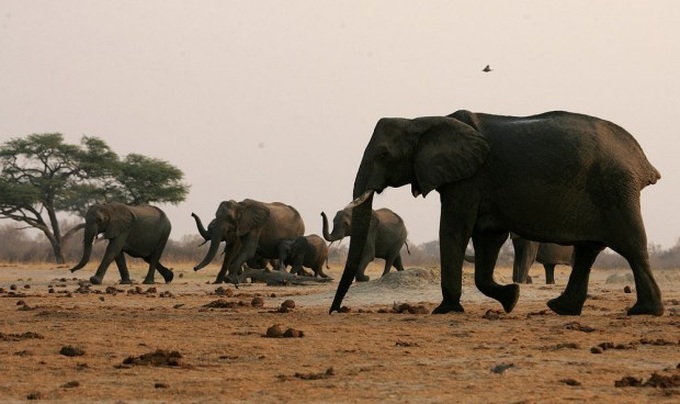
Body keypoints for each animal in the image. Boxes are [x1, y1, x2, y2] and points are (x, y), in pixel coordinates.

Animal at [330, 110, 663, 317]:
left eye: (383, 154)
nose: (337, 310)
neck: (421, 120)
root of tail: (643, 161)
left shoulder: (468, 180)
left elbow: (454, 229)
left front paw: (445, 310)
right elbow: (487, 238)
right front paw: (511, 299)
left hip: (615, 189)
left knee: (631, 246)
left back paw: (644, 311)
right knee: (588, 250)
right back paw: (560, 308)